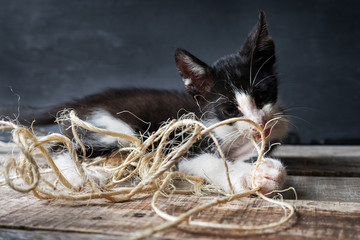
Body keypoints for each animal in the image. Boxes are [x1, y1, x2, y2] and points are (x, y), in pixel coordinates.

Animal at [2, 11, 286, 195]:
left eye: (262, 94)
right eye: (229, 109)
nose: (259, 124)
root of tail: (89, 98)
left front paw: (263, 168)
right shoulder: (182, 142)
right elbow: (208, 161)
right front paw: (248, 176)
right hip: (115, 129)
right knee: (61, 147)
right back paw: (79, 177)